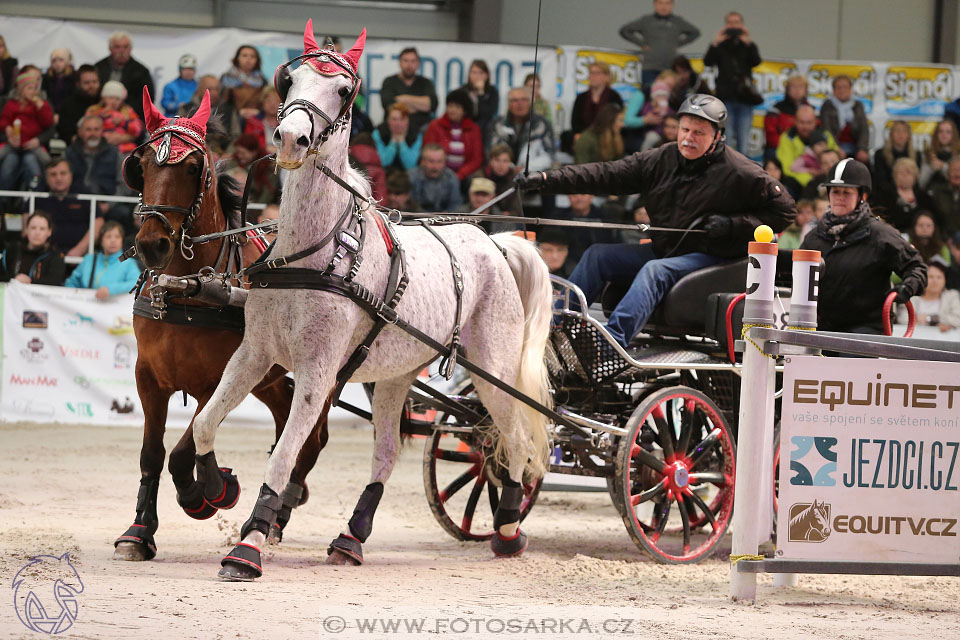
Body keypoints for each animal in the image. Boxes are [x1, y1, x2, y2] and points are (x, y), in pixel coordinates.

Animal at [111, 90, 330, 560]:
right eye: (143, 165)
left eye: (194, 168)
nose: (152, 244)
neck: (184, 287)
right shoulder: (147, 377)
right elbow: (152, 453)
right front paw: (139, 531)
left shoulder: (214, 382)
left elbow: (183, 451)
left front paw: (210, 493)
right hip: (267, 375)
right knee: (284, 413)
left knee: (311, 438)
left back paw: (280, 509)